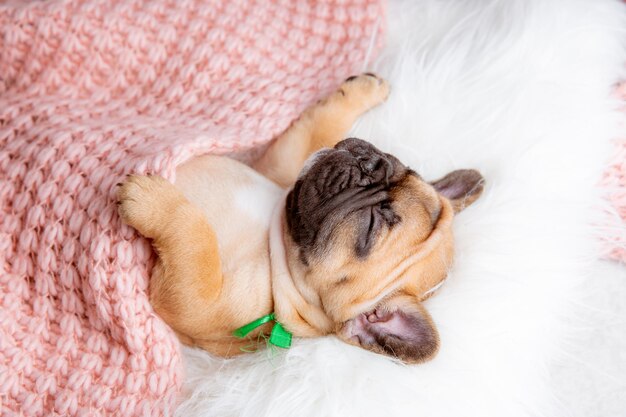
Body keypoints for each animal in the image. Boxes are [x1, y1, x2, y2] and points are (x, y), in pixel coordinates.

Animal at [119, 73, 486, 362]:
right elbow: (314, 132)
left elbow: (197, 244)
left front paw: (151, 199)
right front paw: (362, 90)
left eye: (370, 228)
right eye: (401, 167)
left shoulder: (198, 304)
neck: (276, 248)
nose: (371, 164)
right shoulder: (282, 169)